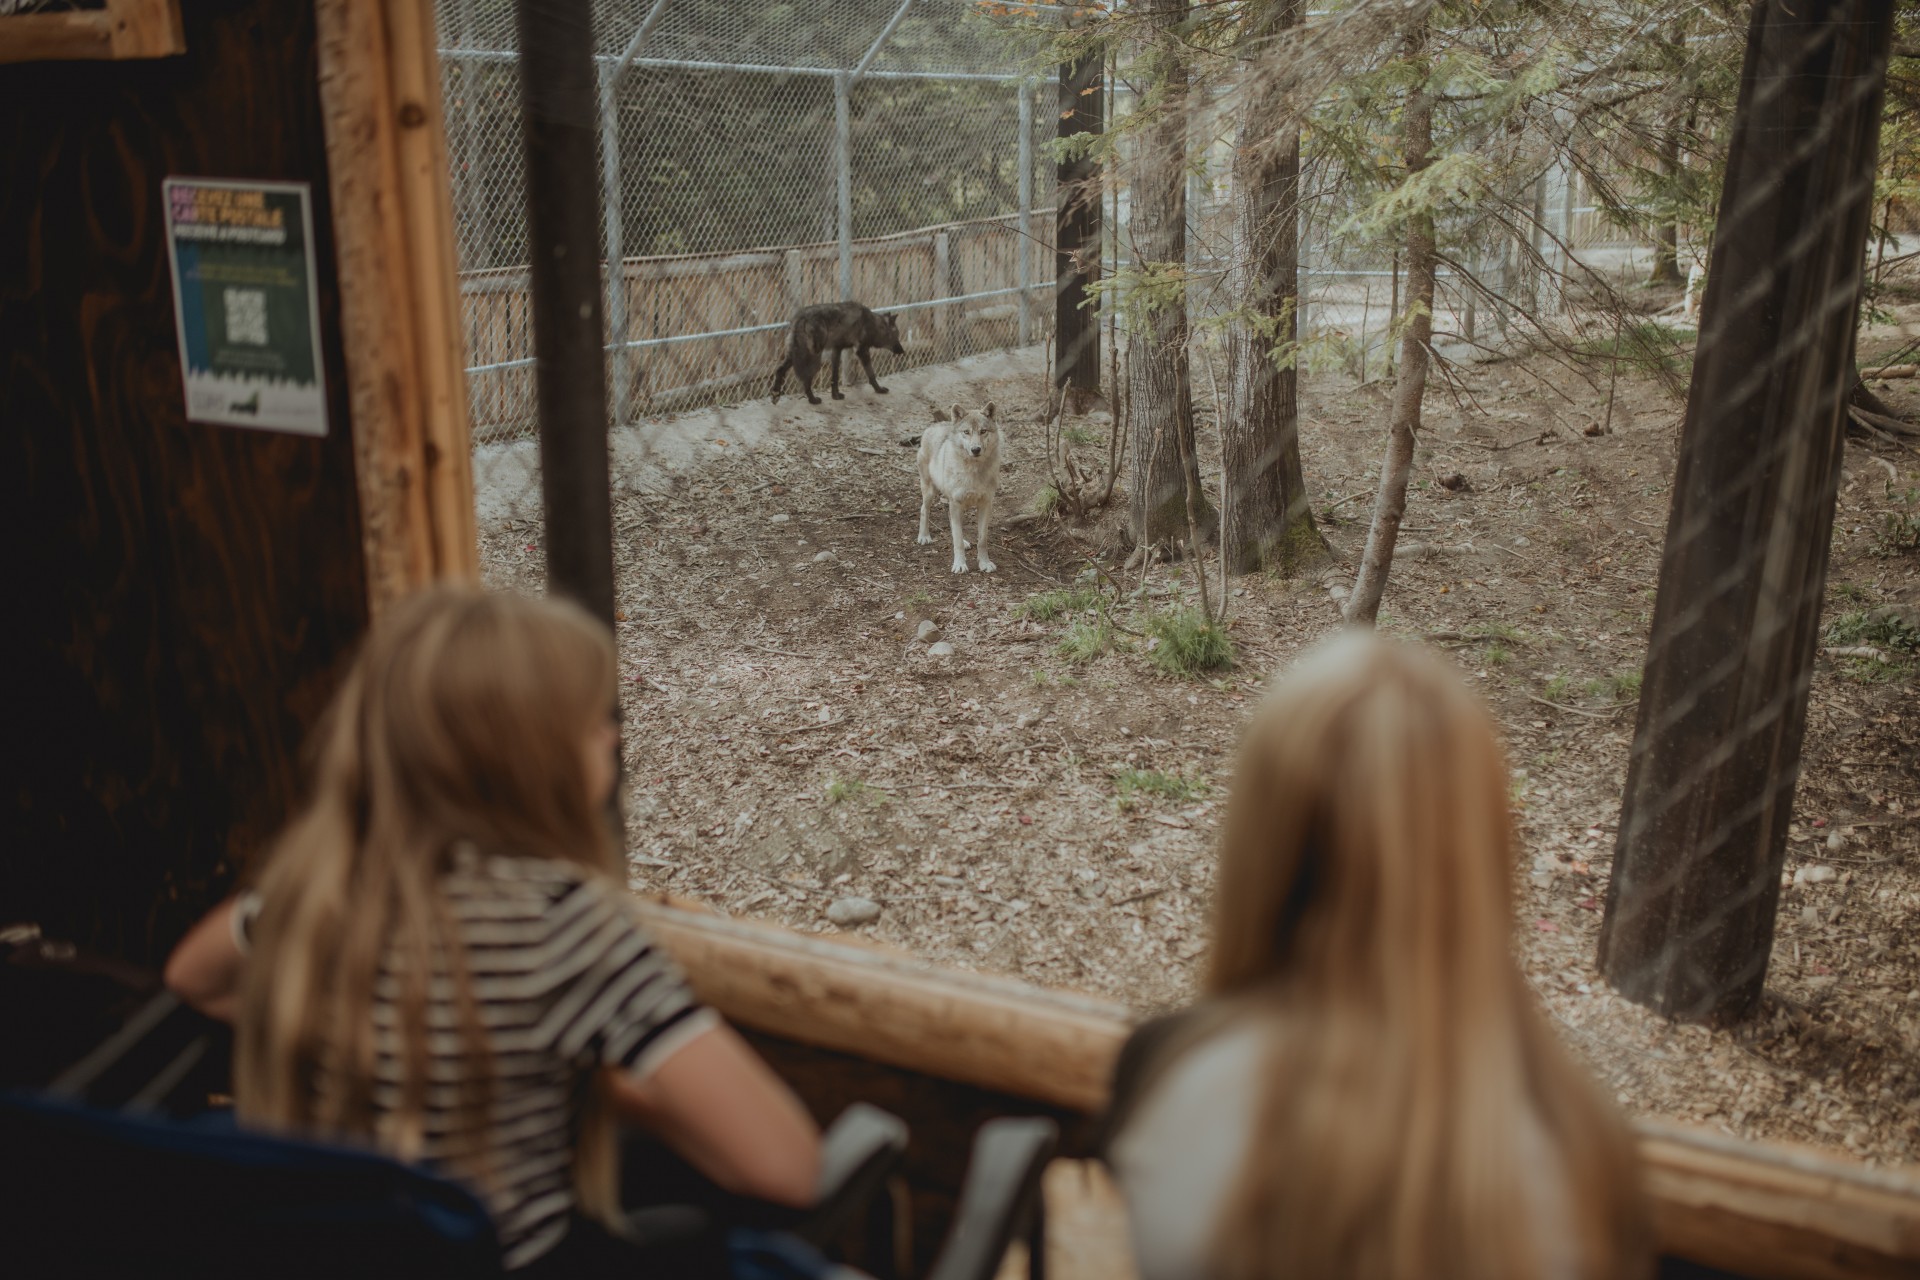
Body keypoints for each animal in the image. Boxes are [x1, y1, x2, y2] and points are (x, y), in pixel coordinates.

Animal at [768, 301, 902, 404]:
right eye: (897, 336)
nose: (902, 351)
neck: (873, 324)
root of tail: (801, 317)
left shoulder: (837, 350)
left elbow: (835, 376)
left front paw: (835, 396)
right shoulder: (862, 351)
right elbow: (871, 374)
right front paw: (879, 390)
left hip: (795, 357)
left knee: (779, 370)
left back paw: (775, 394)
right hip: (814, 360)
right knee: (805, 381)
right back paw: (813, 400)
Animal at [917, 404, 1006, 575]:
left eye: (983, 431)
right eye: (966, 432)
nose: (976, 449)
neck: (974, 471)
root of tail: (933, 426)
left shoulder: (985, 505)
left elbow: (982, 540)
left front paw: (984, 563)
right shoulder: (956, 503)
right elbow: (956, 540)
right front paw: (959, 565)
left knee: (951, 520)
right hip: (931, 492)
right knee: (924, 509)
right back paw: (924, 537)